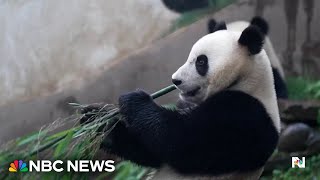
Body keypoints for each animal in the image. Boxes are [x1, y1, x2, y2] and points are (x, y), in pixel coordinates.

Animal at [97, 21, 280, 179]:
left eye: (201, 61)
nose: (175, 80)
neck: (246, 80)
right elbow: (151, 152)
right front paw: (100, 121)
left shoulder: (244, 115)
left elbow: (181, 141)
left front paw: (133, 100)